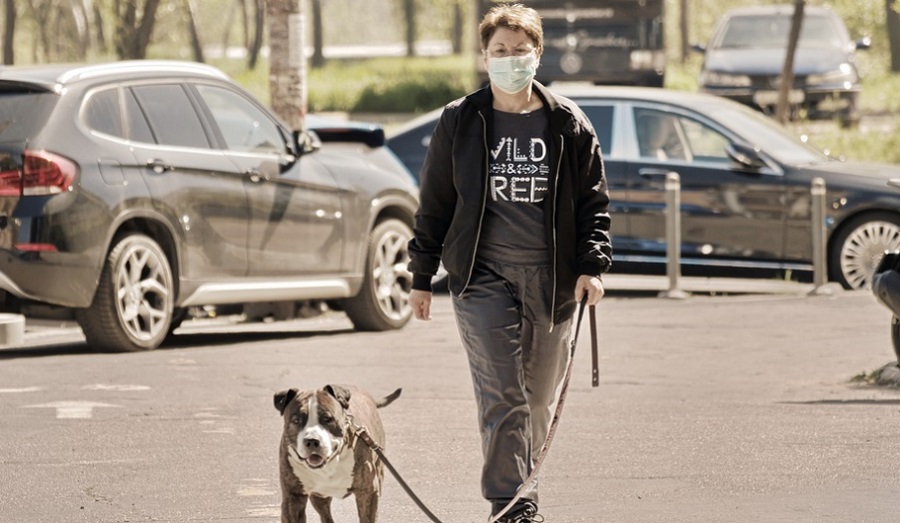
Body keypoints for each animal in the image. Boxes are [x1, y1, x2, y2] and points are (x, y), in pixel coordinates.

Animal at [274, 384, 401, 523]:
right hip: (319, 496)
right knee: (325, 514)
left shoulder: (368, 492)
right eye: (296, 420)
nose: (312, 441)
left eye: (327, 419)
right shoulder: (293, 497)